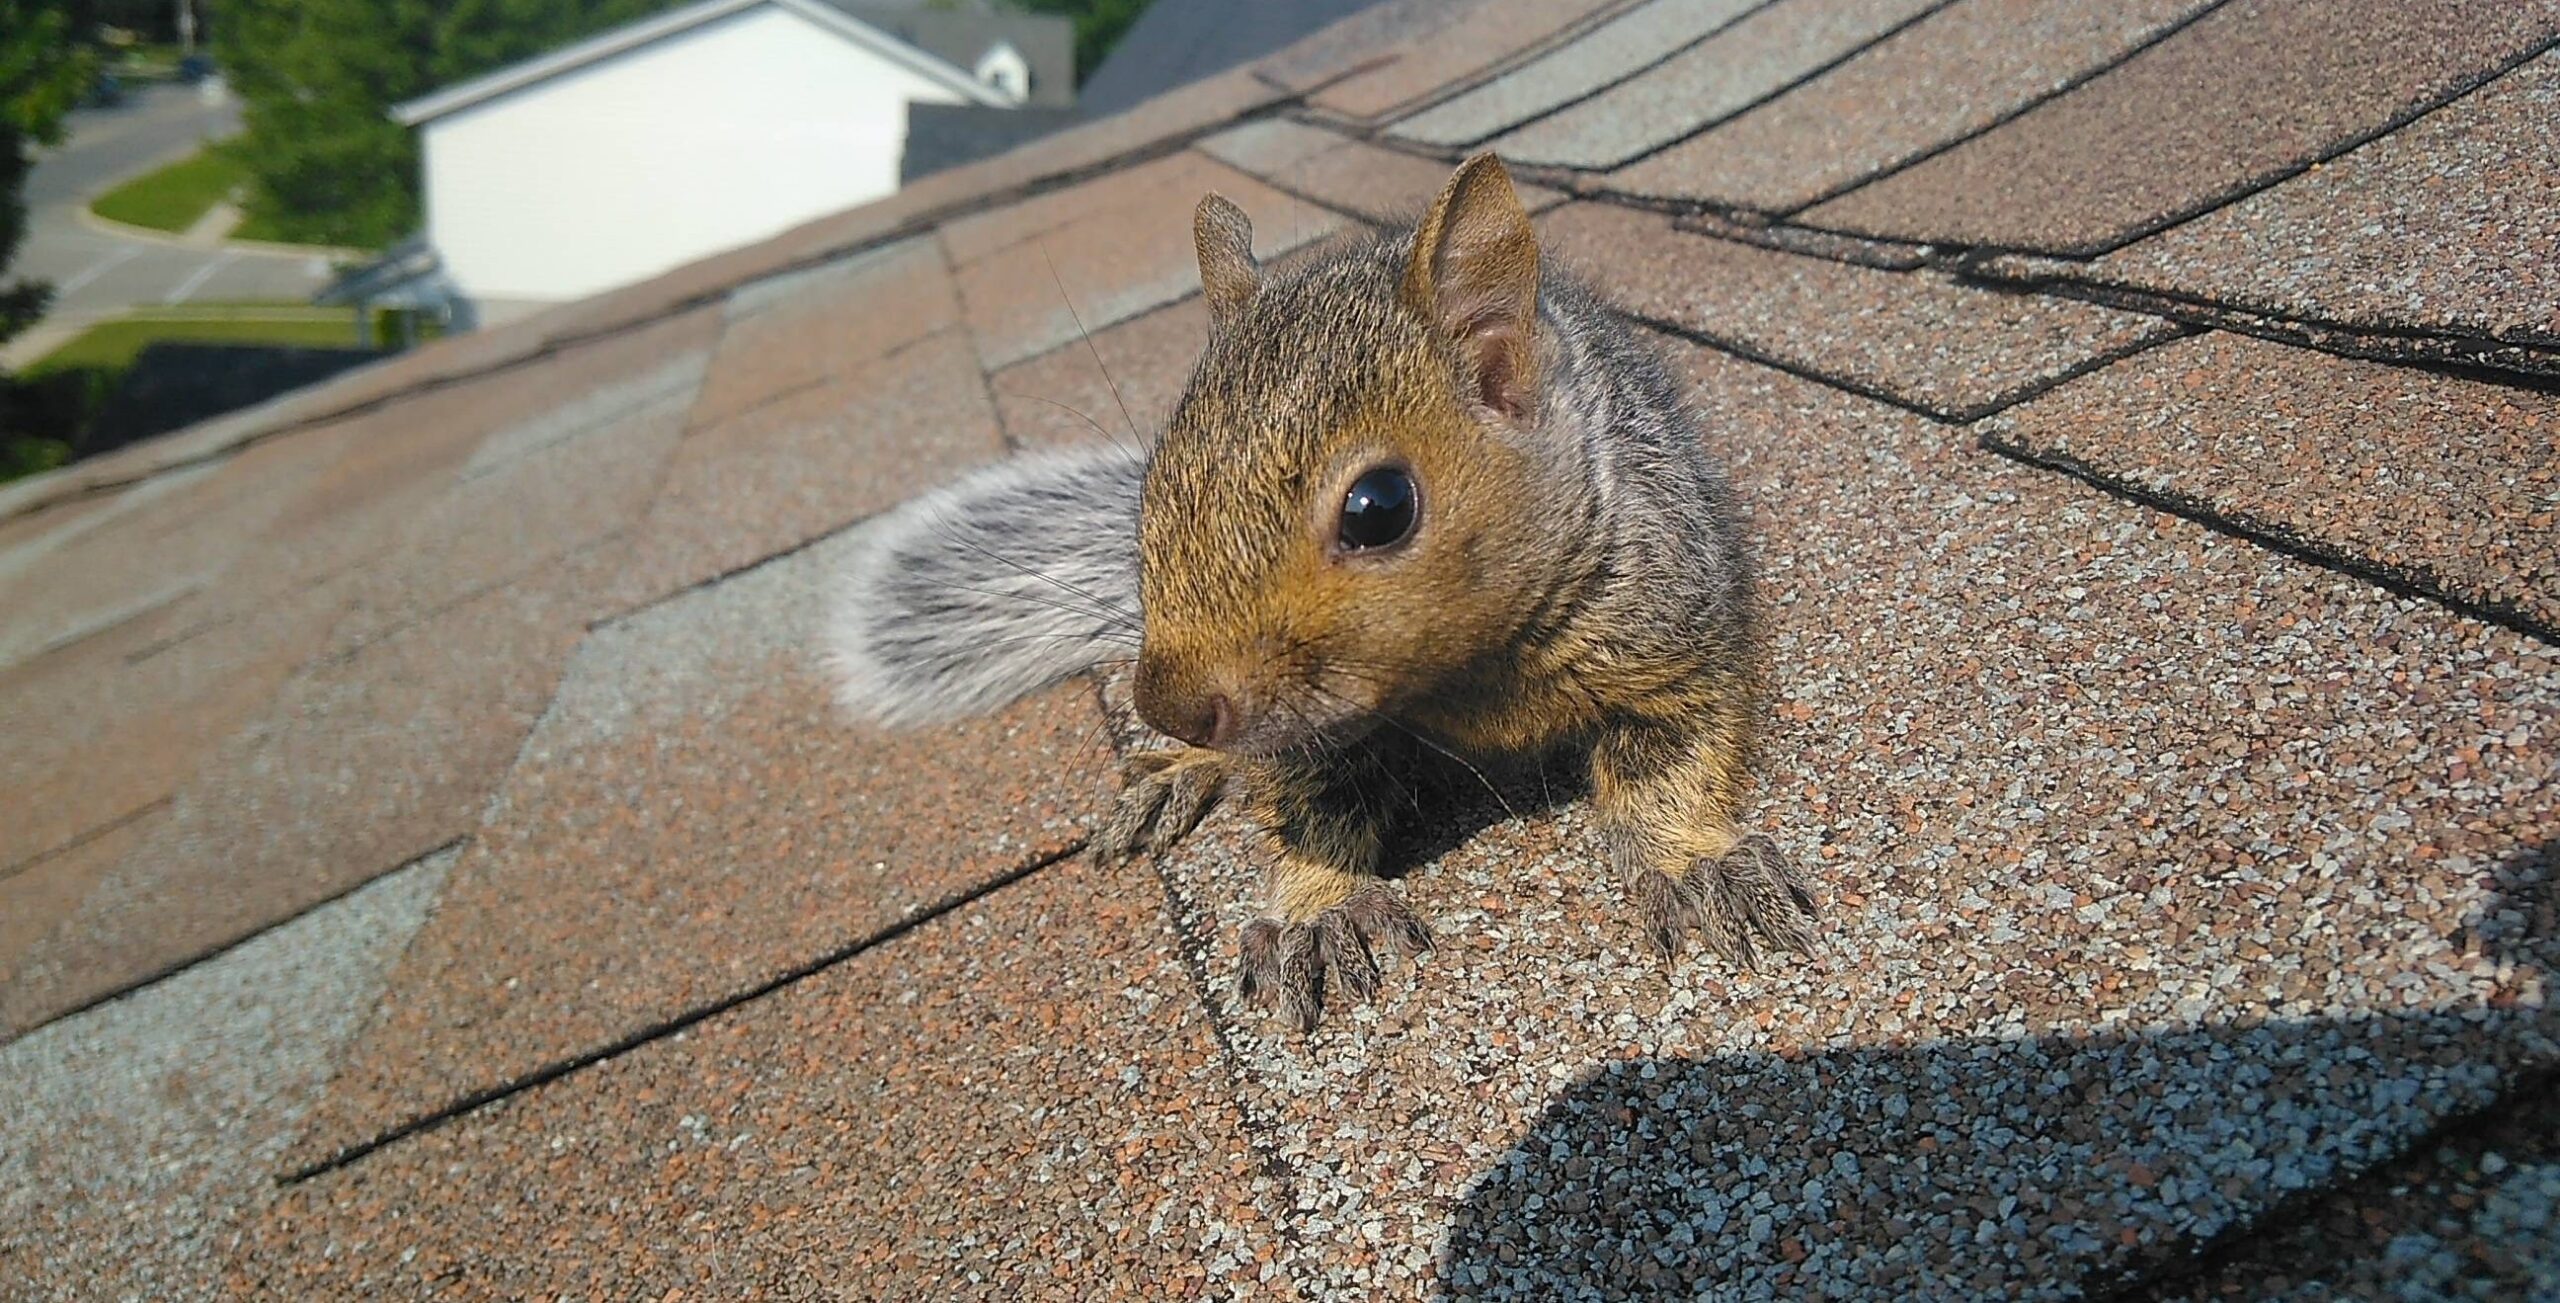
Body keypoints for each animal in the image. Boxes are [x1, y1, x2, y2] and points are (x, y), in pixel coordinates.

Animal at [826, 153, 1815, 1031]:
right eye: (1154, 489)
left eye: (1380, 508)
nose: (1170, 705)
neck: (1468, 670)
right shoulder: (1309, 733)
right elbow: (1312, 804)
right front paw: (1316, 908)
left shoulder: (1669, 625)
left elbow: (1669, 757)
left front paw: (1694, 863)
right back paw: (1179, 771)